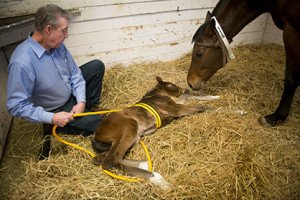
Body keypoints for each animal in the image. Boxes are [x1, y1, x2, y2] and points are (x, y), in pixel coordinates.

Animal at [90, 76, 243, 189]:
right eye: (172, 85)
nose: (186, 90)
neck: (158, 95)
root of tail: (96, 134)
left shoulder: (176, 106)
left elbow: (194, 99)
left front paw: (214, 96)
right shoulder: (175, 109)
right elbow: (202, 107)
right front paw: (238, 111)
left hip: (134, 138)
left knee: (101, 158)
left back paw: (144, 164)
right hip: (129, 127)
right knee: (110, 160)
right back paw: (158, 179)